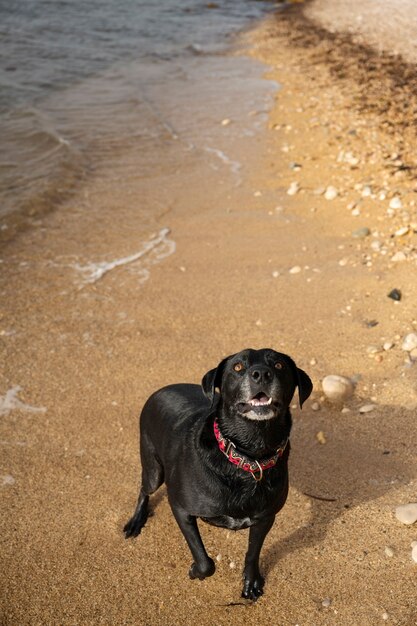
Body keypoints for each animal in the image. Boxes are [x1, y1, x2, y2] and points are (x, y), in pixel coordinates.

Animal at [123, 348, 312, 596]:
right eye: (238, 367)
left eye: (279, 365)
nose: (261, 374)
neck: (248, 457)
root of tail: (160, 390)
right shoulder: (181, 508)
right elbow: (206, 562)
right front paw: (195, 571)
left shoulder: (265, 518)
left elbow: (252, 553)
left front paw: (251, 583)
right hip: (153, 467)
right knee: (144, 489)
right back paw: (136, 521)